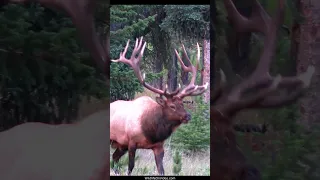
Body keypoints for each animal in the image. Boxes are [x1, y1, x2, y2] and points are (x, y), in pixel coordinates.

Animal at [110, 37, 209, 175]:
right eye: (172, 106)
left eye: (182, 104)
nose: (188, 116)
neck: (152, 132)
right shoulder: (131, 142)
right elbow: (130, 167)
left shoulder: (158, 146)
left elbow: (161, 170)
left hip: (120, 145)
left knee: (114, 158)